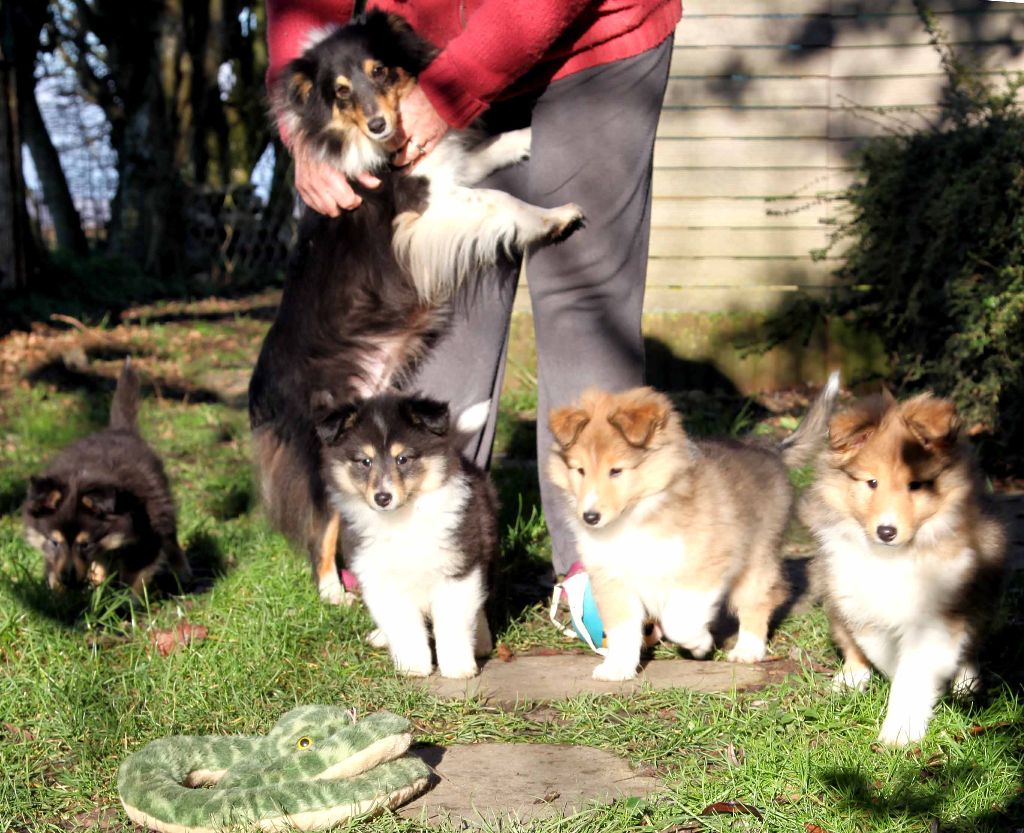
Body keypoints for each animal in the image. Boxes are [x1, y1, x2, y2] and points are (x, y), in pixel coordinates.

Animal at [22, 360, 190, 594]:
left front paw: (123, 601)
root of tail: (121, 429)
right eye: (54, 542)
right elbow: (55, 571)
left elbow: (134, 577)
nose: (68, 579)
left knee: (171, 540)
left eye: (85, 544)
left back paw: (183, 573)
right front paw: (60, 596)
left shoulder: (146, 538)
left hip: (162, 507)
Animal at [249, 9, 585, 602]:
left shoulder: (447, 170)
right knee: (323, 521)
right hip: (325, 443)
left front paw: (522, 136)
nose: (381, 127)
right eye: (340, 92)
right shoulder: (425, 207)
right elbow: (500, 200)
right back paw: (333, 591)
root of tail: (259, 389)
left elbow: (483, 152)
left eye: (380, 70)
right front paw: (552, 217)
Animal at [317, 393, 497, 680]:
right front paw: (413, 666)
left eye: (402, 459)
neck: (402, 519)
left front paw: (458, 666)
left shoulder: (457, 567)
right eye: (365, 461)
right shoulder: (379, 578)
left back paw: (481, 642)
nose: (382, 497)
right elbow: (403, 625)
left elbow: (453, 621)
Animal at [548, 372, 835, 680]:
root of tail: (771, 449)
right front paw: (618, 668)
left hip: (757, 558)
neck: (638, 515)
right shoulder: (611, 578)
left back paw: (748, 649)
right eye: (579, 470)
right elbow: (622, 627)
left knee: (758, 600)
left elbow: (679, 619)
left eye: (616, 471)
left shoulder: (704, 565)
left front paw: (698, 644)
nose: (589, 517)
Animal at [798, 389, 1007, 745]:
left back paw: (966, 686)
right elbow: (879, 650)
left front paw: (900, 731)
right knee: (850, 644)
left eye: (915, 485)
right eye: (872, 482)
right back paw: (849, 679)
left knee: (973, 643)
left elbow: (914, 671)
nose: (886, 531)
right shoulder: (857, 599)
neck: (891, 558)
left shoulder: (939, 613)